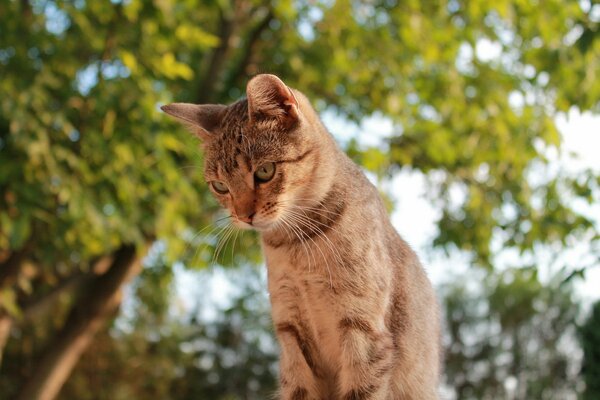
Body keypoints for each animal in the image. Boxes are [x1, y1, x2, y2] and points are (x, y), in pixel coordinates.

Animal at [162, 74, 442, 396]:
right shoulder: (291, 332)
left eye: (265, 171)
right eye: (220, 186)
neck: (295, 245)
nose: (244, 216)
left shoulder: (363, 329)